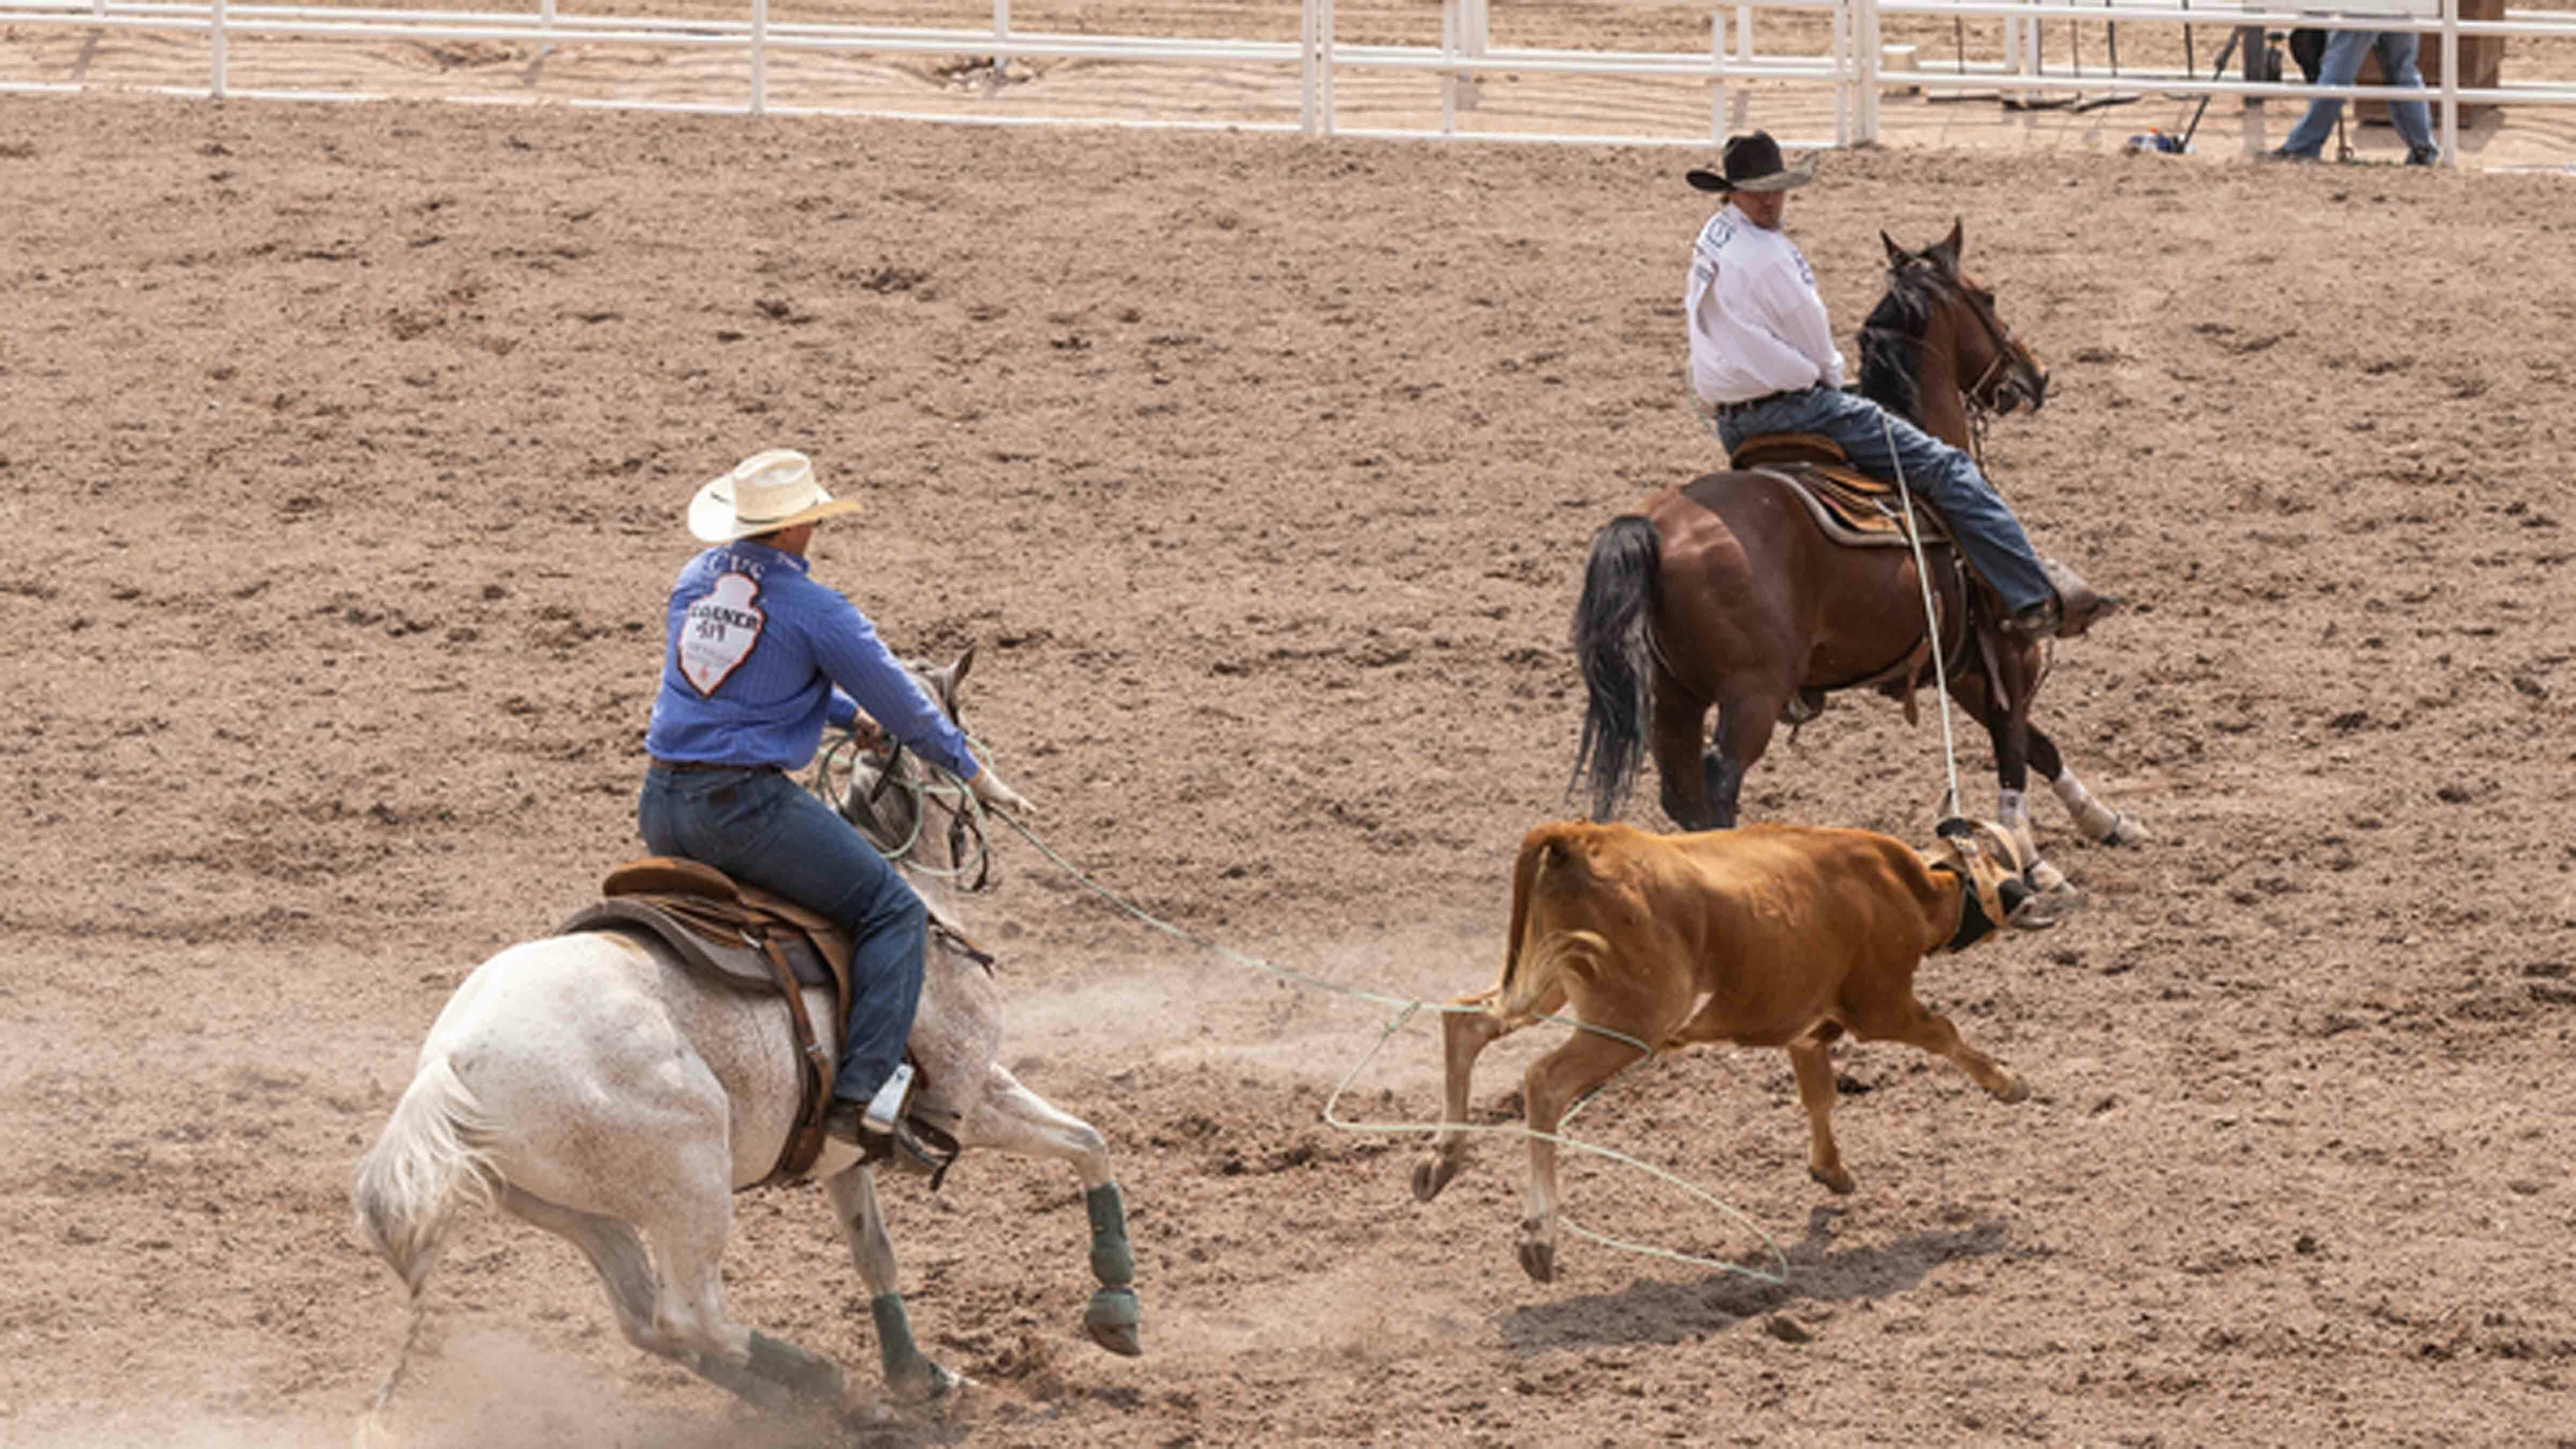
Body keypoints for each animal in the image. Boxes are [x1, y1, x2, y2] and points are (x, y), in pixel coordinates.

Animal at [353, 652, 1138, 1423]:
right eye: (963, 726)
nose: (985, 801)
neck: (914, 897)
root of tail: (448, 1063)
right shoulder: (969, 1099)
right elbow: (1089, 1142)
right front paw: (1115, 1306)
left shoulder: (846, 1150)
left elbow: (876, 1254)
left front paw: (918, 1375)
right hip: (691, 1179)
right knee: (687, 1315)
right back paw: (827, 1384)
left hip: (566, 1206)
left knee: (644, 1316)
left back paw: (807, 1396)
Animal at [1576, 223, 2143, 882]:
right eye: (1990, 296)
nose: (2038, 374)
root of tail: (1651, 526)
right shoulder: (2006, 649)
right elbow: (2014, 746)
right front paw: (2031, 860)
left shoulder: (1961, 664)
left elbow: (2041, 745)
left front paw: (2107, 820)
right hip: (1752, 690)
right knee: (1718, 780)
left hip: (1676, 691)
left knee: (1681, 789)